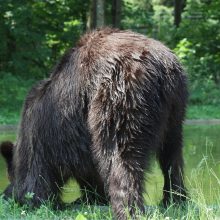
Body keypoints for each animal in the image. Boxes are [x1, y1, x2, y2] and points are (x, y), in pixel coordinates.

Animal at [1, 28, 187, 220]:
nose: (6, 195)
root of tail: (161, 66)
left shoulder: (44, 140)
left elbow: (39, 181)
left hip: (119, 96)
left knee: (120, 158)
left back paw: (127, 210)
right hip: (175, 109)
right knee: (172, 155)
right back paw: (174, 200)